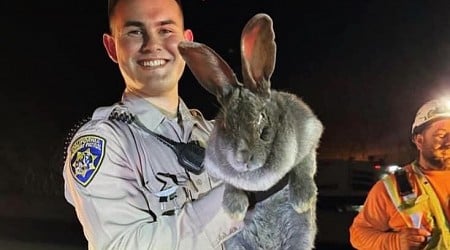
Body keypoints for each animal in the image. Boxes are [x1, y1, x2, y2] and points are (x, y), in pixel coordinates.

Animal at [178, 13, 324, 250]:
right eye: (225, 126)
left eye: (264, 128)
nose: (243, 159)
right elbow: (230, 183)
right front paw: (234, 208)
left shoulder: (311, 136)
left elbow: (303, 166)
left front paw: (303, 200)